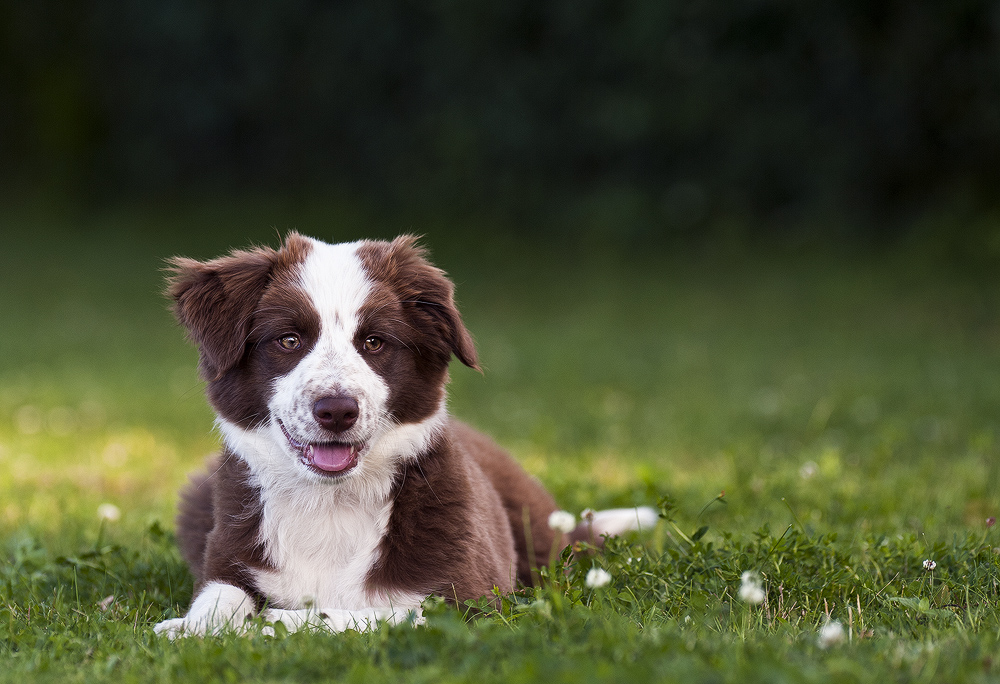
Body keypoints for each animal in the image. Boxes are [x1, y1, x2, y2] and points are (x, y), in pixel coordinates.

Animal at [154, 234, 656, 636]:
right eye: (289, 340)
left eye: (374, 342)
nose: (337, 411)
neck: (330, 503)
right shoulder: (229, 554)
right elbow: (219, 599)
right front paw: (188, 627)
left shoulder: (473, 598)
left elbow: (389, 612)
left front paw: (279, 620)